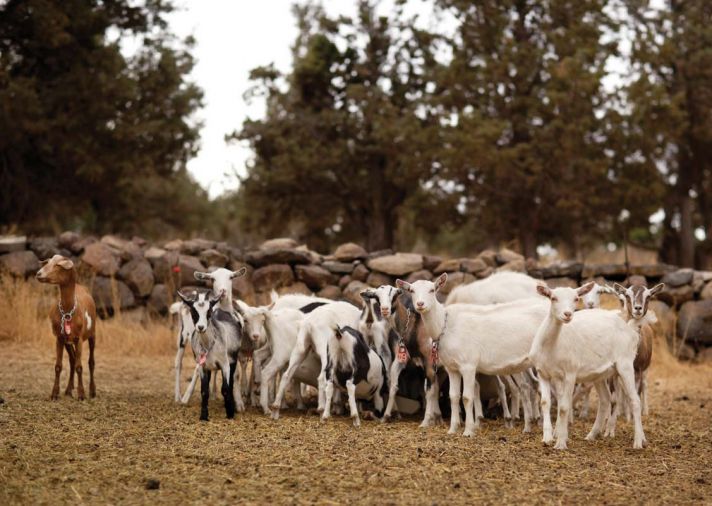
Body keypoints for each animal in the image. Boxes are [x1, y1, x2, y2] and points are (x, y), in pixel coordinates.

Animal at [36, 255, 97, 402]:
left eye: (58, 265)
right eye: (47, 262)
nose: (39, 274)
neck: (68, 312)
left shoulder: (79, 338)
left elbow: (80, 367)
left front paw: (81, 395)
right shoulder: (59, 337)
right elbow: (58, 366)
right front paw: (54, 394)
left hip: (92, 333)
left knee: (91, 362)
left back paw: (92, 391)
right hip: (68, 341)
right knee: (72, 360)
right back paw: (69, 390)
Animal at [177, 290, 243, 422]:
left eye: (208, 311)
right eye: (193, 311)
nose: (201, 327)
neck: (209, 343)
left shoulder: (225, 364)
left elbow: (226, 389)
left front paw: (230, 413)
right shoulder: (203, 366)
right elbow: (204, 391)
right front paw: (203, 416)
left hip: (233, 360)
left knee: (231, 383)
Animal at [528, 284, 644, 450]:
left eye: (576, 298)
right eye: (553, 298)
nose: (567, 314)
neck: (551, 346)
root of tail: (631, 330)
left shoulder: (570, 372)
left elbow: (564, 407)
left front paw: (561, 443)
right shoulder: (543, 372)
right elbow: (546, 403)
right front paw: (548, 438)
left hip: (625, 363)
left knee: (635, 400)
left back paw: (638, 442)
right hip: (600, 373)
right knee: (605, 399)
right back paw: (592, 434)